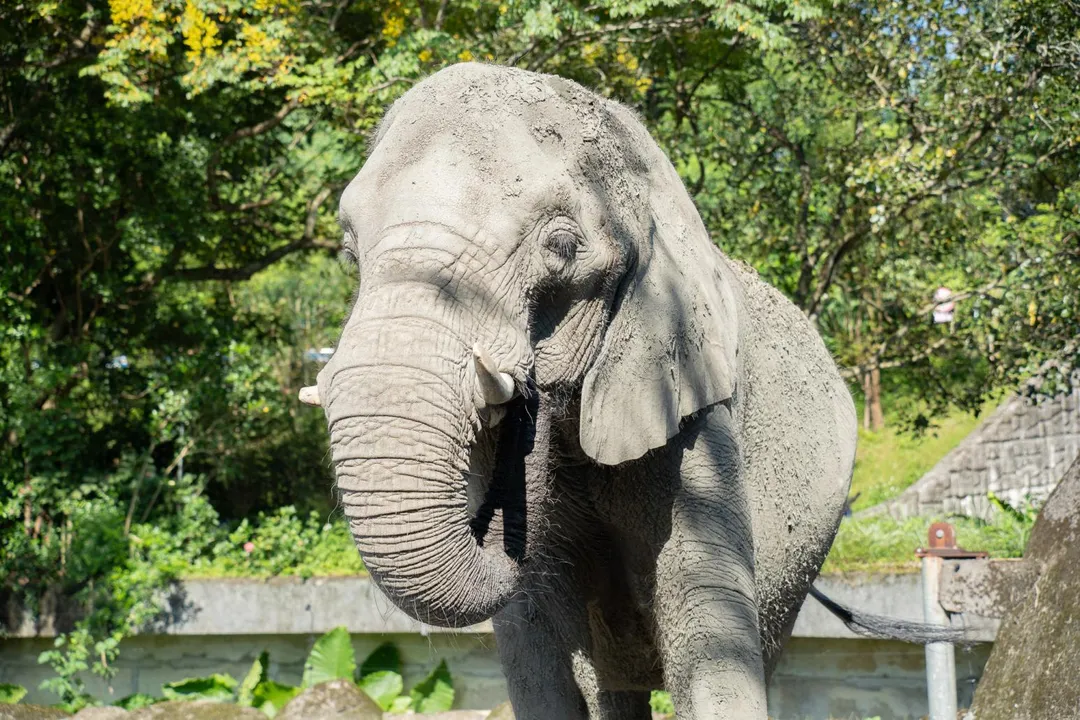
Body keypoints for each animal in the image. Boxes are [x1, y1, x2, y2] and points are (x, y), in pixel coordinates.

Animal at [300, 63, 949, 719]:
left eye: (561, 248)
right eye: (349, 252)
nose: (522, 395)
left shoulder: (693, 406)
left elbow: (707, 629)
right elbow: (532, 638)